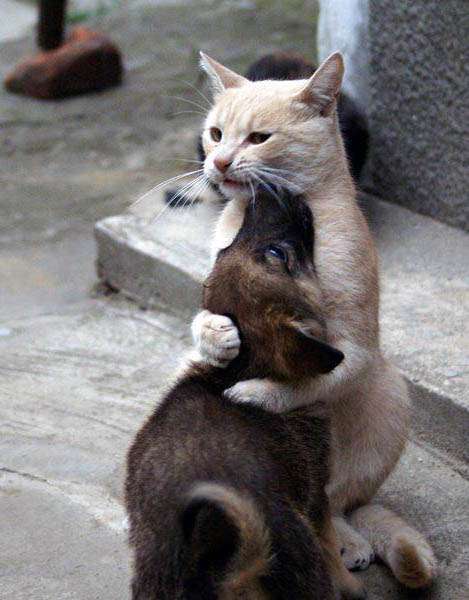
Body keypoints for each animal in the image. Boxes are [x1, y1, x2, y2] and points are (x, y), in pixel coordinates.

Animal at [125, 189, 365, 600]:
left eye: (223, 249)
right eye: (277, 253)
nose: (270, 192)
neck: (242, 368)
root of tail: (221, 565)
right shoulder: (317, 493)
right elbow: (331, 542)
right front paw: (350, 584)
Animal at [190, 51, 437, 589]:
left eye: (258, 138)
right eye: (216, 134)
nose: (218, 162)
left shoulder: (354, 347)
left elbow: (304, 379)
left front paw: (258, 393)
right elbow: (203, 317)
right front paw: (217, 337)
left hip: (389, 393)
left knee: (335, 502)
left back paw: (348, 542)